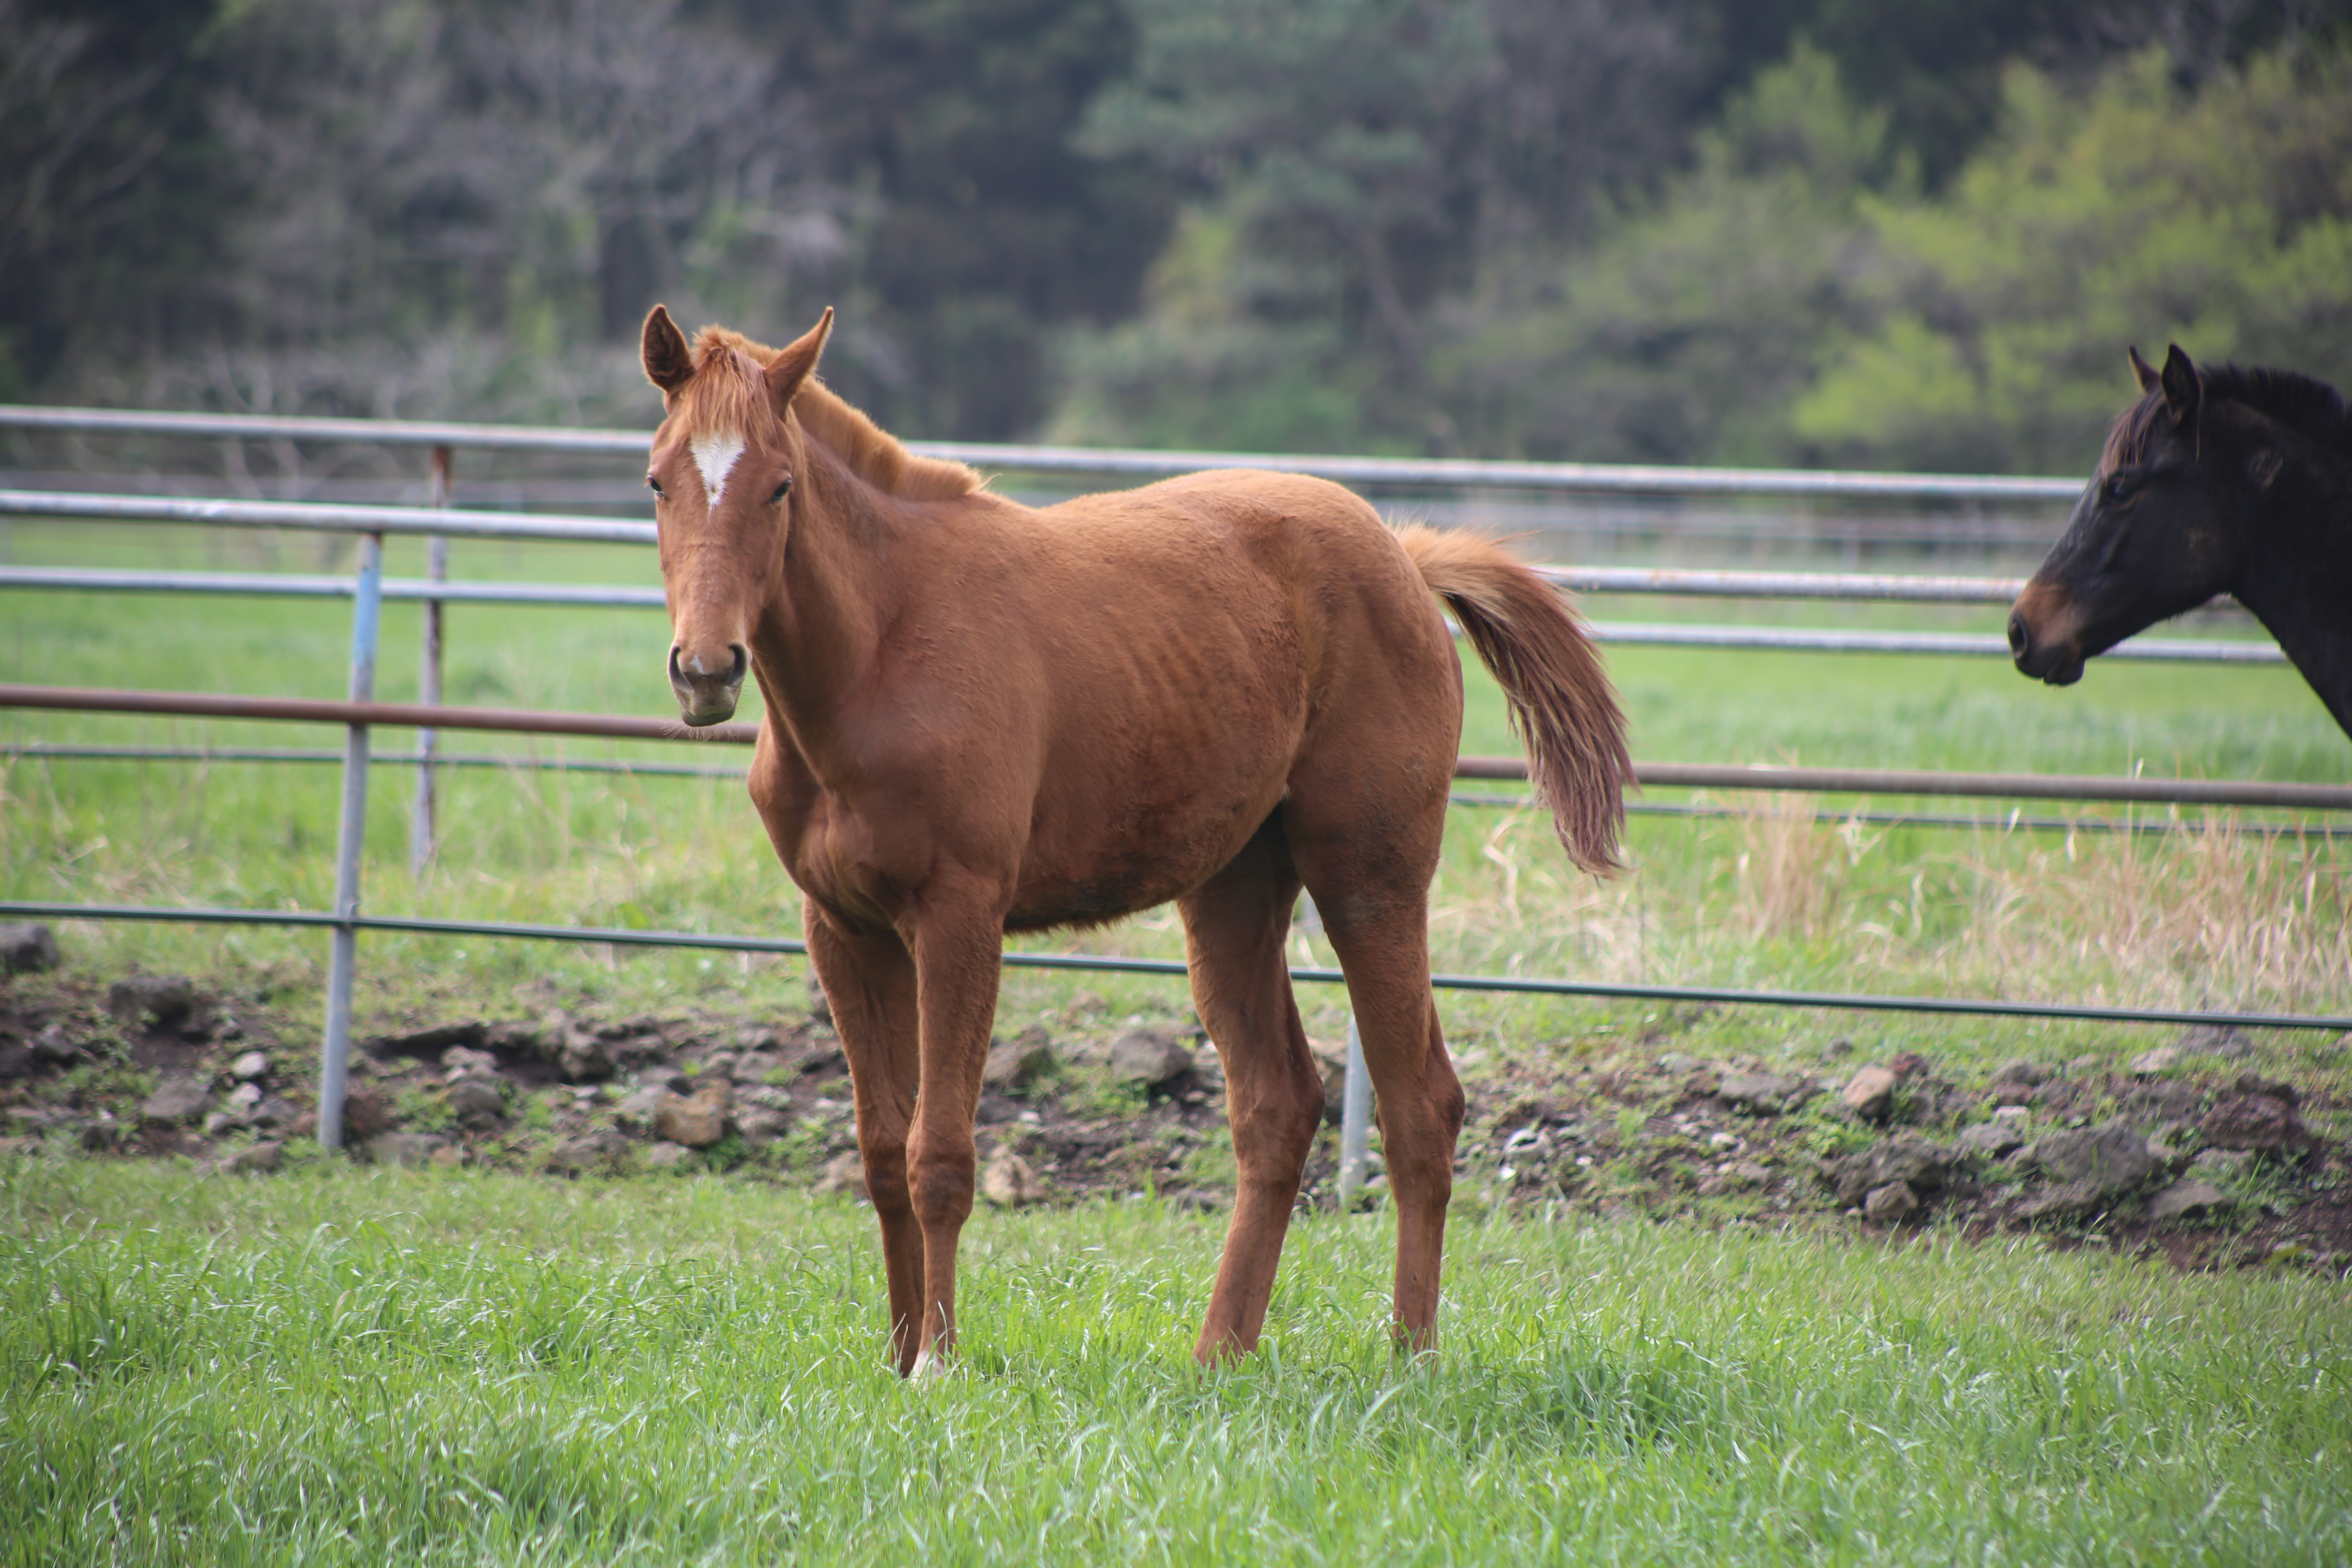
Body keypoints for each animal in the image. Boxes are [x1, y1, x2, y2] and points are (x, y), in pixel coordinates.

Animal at [644, 303, 1637, 1373]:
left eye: (780, 485)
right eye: (656, 480)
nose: (706, 670)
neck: (882, 653)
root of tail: (1407, 560)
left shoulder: (959, 917)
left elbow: (938, 1155)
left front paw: (936, 1368)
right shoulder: (841, 928)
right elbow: (879, 1153)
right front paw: (900, 1354)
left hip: (1370, 880)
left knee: (1420, 1105)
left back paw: (1408, 1359)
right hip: (1234, 893)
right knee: (1277, 1104)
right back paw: (1219, 1357)